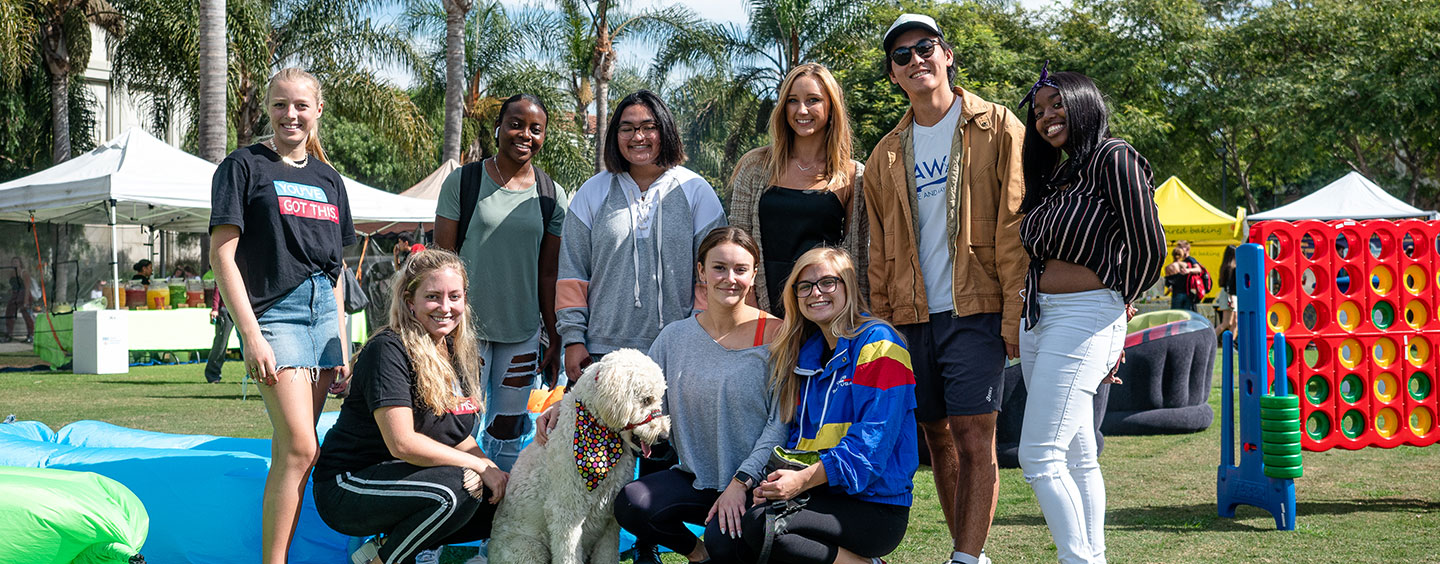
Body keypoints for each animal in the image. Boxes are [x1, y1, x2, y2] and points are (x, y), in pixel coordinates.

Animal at [489, 348, 668, 564]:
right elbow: (568, 555)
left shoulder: (610, 517)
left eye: (659, 398)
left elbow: (607, 555)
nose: (664, 436)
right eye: (646, 399)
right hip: (529, 550)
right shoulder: (567, 513)